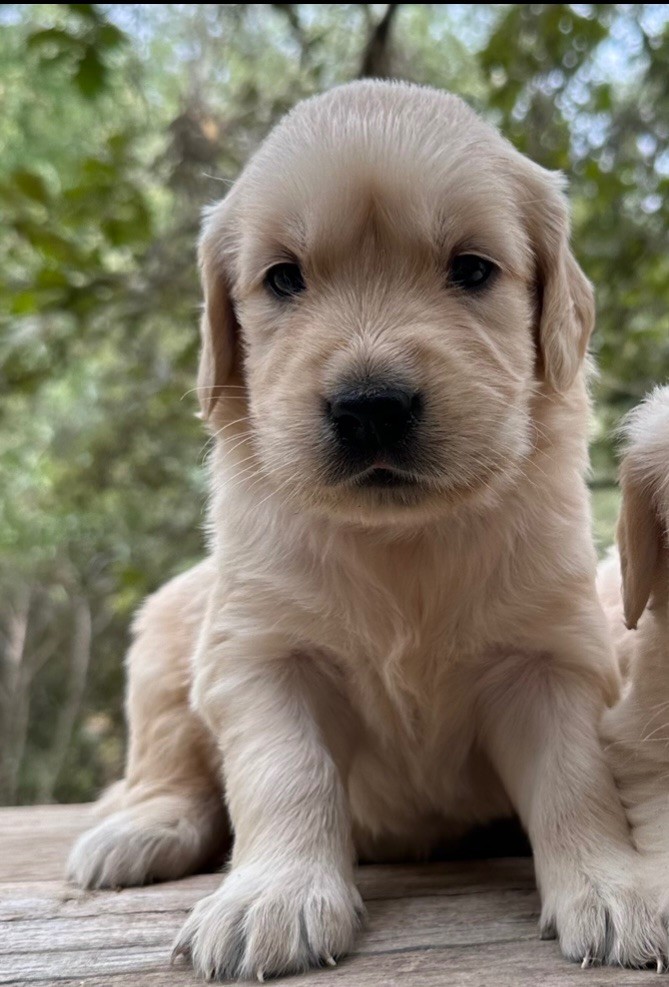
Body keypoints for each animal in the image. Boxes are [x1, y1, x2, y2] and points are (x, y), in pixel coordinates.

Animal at [68, 81, 664, 976]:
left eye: (471, 269)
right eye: (283, 278)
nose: (371, 407)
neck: (401, 544)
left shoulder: (545, 657)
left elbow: (573, 777)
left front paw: (611, 885)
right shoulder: (261, 657)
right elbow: (286, 773)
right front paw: (272, 897)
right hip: (172, 626)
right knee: (169, 770)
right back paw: (138, 831)